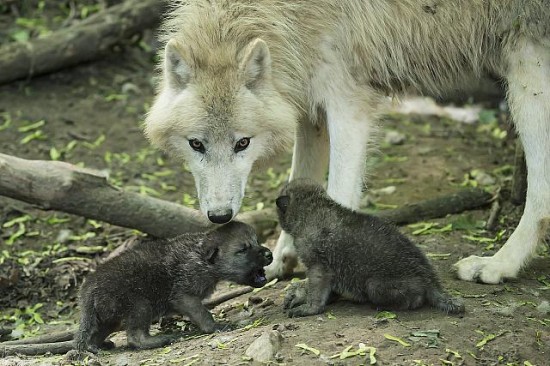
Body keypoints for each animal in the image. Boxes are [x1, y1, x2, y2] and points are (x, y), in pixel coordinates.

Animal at [144, 0, 548, 284]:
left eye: (242, 143)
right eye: (196, 145)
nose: (219, 216)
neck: (289, 14)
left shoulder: (348, 104)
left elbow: (337, 197)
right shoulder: (307, 108)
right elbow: (295, 188)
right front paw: (280, 260)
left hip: (527, 75)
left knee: (541, 195)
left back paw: (498, 265)